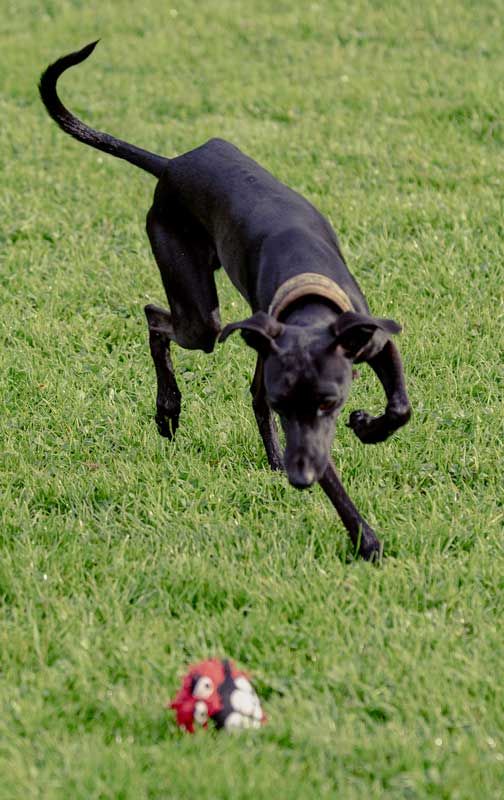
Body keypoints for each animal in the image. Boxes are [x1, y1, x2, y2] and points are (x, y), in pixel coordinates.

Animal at [39, 41, 411, 560]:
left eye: (329, 402)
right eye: (289, 404)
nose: (299, 475)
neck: (307, 303)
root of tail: (172, 164)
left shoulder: (371, 340)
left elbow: (399, 407)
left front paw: (367, 425)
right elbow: (329, 472)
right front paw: (365, 539)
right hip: (198, 311)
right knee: (156, 318)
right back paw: (169, 410)